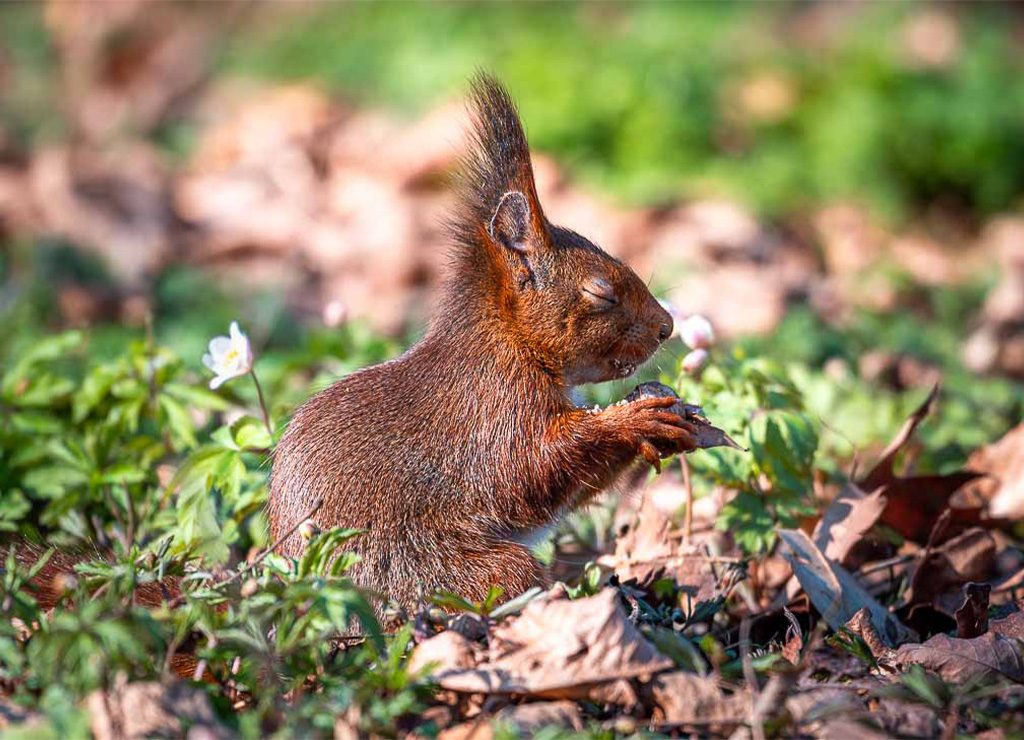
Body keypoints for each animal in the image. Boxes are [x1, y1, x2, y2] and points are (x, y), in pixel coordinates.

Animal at [267, 74, 698, 617]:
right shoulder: (492, 410)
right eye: (601, 292)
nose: (666, 327)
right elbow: (529, 470)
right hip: (442, 570)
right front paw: (633, 421)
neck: (510, 343)